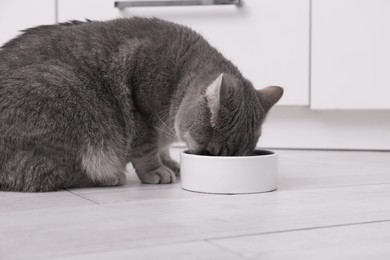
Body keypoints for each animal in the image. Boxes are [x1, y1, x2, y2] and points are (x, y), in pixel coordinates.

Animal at [0, 16, 282, 191]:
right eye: (211, 153)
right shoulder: (142, 112)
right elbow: (146, 150)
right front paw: (157, 170)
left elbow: (162, 148)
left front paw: (169, 162)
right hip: (68, 92)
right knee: (47, 175)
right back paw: (110, 176)